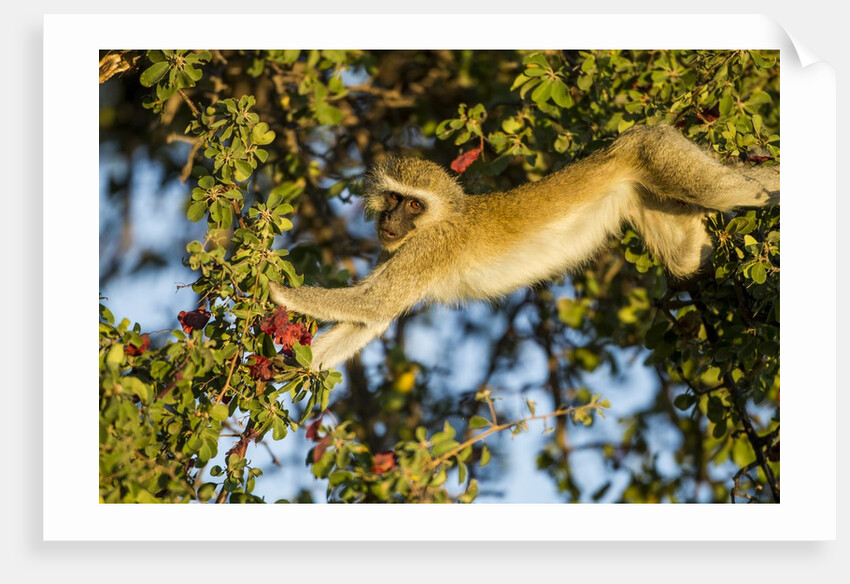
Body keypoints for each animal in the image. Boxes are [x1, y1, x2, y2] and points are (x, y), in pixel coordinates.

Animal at [270, 124, 779, 370]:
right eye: (393, 199)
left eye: (413, 204)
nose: (391, 221)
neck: (441, 219)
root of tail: (618, 150)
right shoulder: (397, 251)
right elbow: (372, 319)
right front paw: (290, 368)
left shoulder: (426, 250)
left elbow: (373, 305)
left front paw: (279, 290)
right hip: (646, 185)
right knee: (689, 257)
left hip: (654, 151)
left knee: (735, 190)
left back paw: (767, 188)